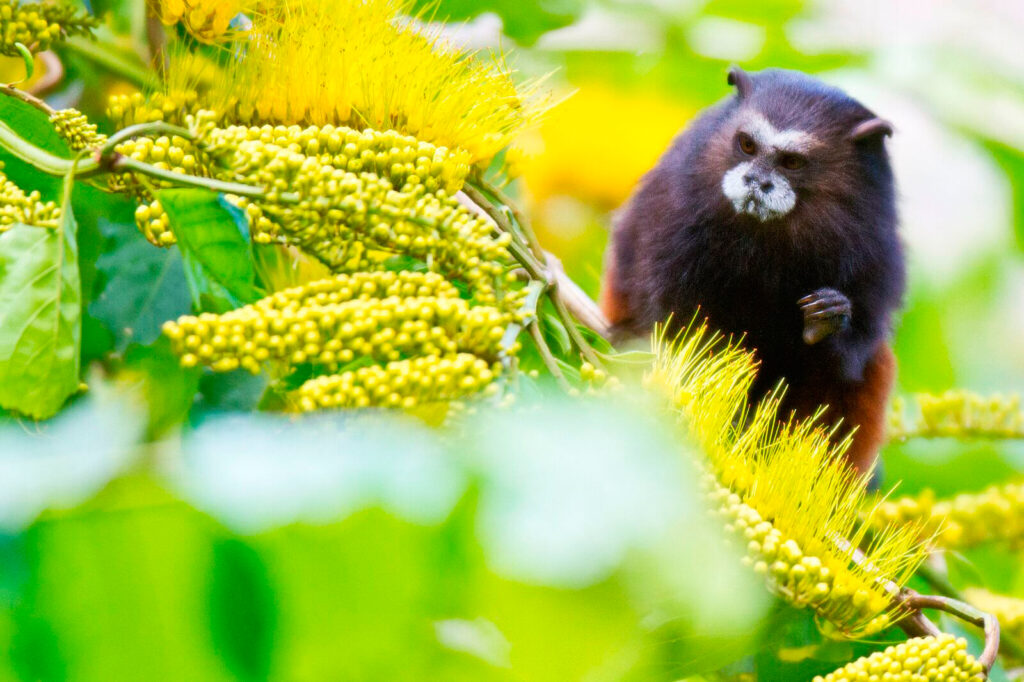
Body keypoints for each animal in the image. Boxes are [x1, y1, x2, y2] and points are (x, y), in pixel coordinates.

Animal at [601, 67, 905, 475]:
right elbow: (678, 323)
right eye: (746, 145)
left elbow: (853, 354)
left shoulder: (875, 246)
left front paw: (827, 319)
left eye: (791, 162)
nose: (755, 182)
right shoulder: (674, 206)